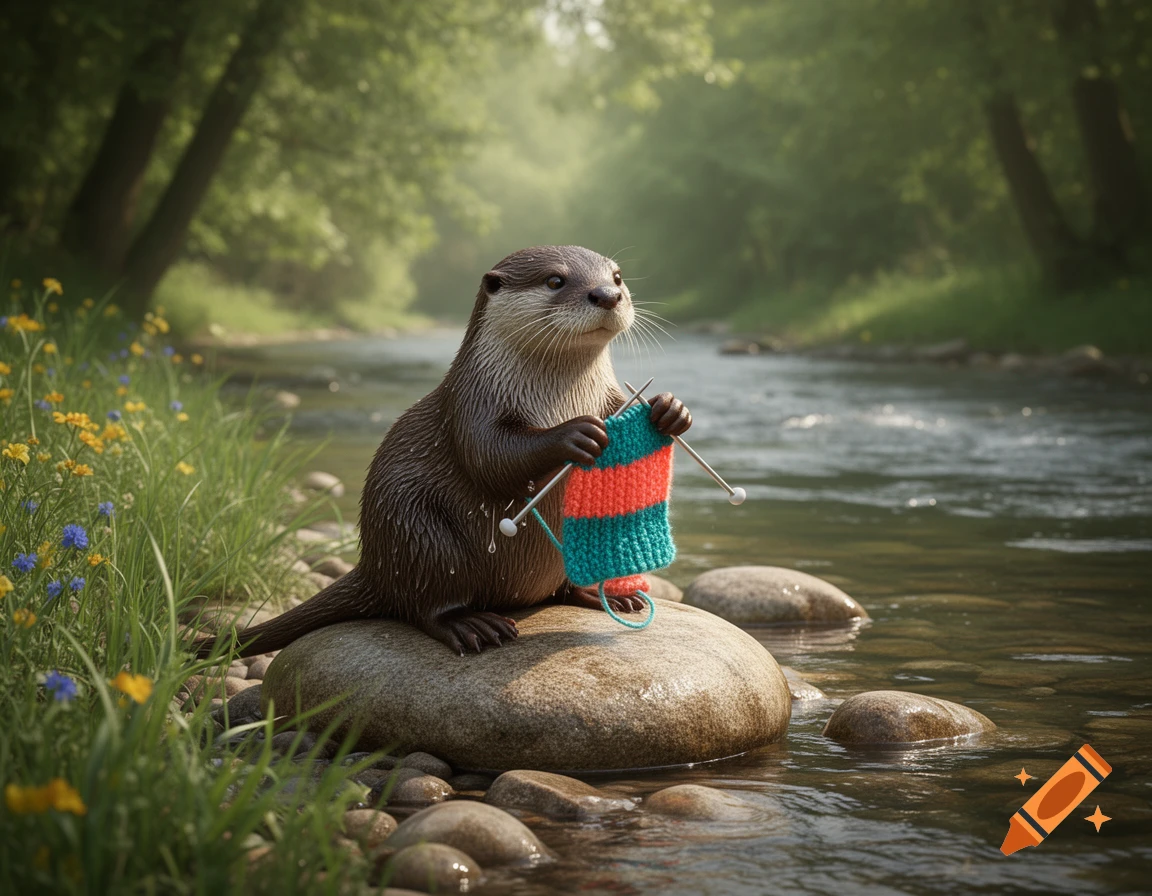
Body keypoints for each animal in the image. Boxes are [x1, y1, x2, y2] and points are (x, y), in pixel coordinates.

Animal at [195, 246, 691, 657]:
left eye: (618, 275)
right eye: (555, 280)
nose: (607, 294)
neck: (561, 395)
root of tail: (374, 564)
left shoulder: (609, 396)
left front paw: (670, 409)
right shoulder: (470, 402)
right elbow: (490, 458)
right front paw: (576, 434)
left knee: (562, 587)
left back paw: (608, 594)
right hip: (416, 532)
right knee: (425, 604)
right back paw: (471, 626)